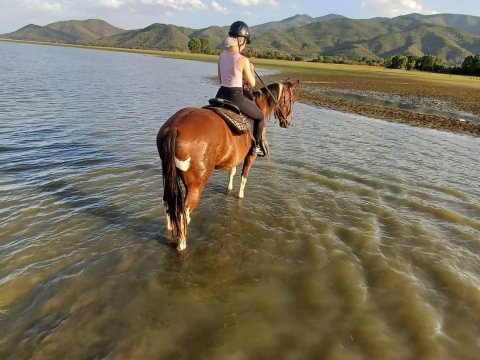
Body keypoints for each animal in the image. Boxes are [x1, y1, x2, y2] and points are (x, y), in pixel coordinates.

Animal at [157, 80, 300, 252]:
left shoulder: (235, 157)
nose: (288, 122)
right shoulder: (250, 156)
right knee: (183, 215)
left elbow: (232, 172)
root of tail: (175, 127)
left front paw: (229, 189)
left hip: (169, 177)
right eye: (292, 100)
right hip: (196, 186)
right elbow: (244, 177)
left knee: (168, 205)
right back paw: (182, 245)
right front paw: (240, 196)